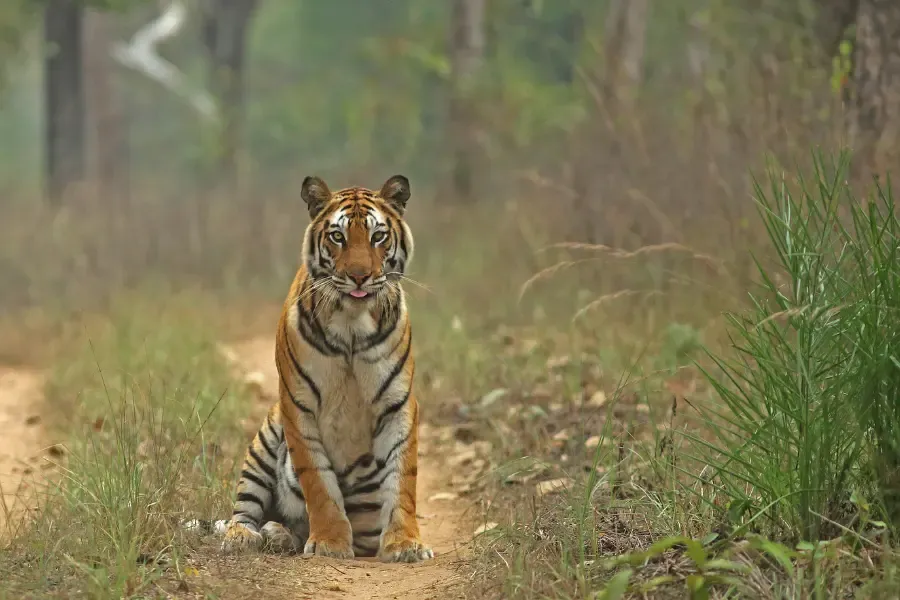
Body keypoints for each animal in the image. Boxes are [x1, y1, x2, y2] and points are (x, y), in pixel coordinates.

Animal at [198, 175, 432, 563]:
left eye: (378, 236)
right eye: (337, 236)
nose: (358, 276)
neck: (353, 325)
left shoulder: (399, 405)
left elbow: (403, 480)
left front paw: (406, 544)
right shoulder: (297, 405)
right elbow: (319, 483)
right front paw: (330, 543)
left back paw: (279, 535)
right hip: (265, 438)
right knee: (246, 509)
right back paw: (247, 536)